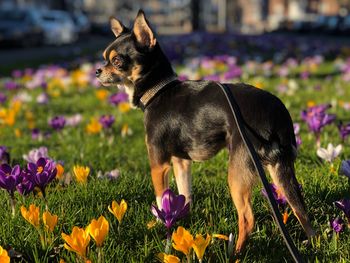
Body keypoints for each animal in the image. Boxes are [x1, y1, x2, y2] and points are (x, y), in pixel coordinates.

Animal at [97, 9, 316, 254]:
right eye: (105, 58)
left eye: (116, 61)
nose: (97, 70)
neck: (158, 91)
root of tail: (278, 114)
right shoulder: (181, 161)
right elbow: (185, 194)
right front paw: (181, 221)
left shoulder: (159, 162)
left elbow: (160, 197)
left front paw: (161, 223)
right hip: (280, 168)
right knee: (300, 207)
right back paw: (313, 243)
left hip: (240, 169)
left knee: (247, 217)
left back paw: (234, 253)